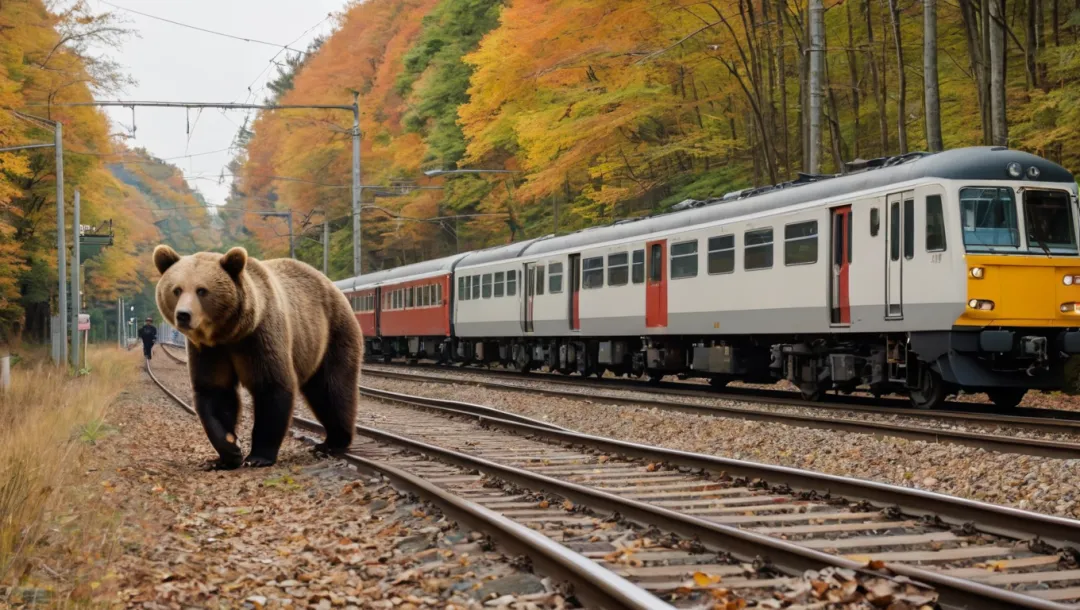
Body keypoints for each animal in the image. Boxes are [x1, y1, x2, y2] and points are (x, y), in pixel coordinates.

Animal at [152, 245, 362, 468]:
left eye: (201, 290)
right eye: (176, 290)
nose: (183, 315)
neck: (228, 334)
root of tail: (330, 284)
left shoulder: (260, 337)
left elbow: (271, 386)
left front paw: (258, 457)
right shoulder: (209, 351)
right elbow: (214, 391)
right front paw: (229, 449)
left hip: (332, 332)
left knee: (331, 388)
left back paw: (334, 441)